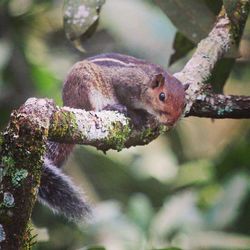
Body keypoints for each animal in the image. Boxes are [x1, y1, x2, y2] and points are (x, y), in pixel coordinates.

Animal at [37, 52, 186, 221]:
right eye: (162, 96)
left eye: (184, 104)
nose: (171, 122)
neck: (145, 82)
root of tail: (69, 105)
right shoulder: (124, 85)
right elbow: (126, 102)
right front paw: (137, 115)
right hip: (85, 86)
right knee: (93, 110)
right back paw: (113, 107)